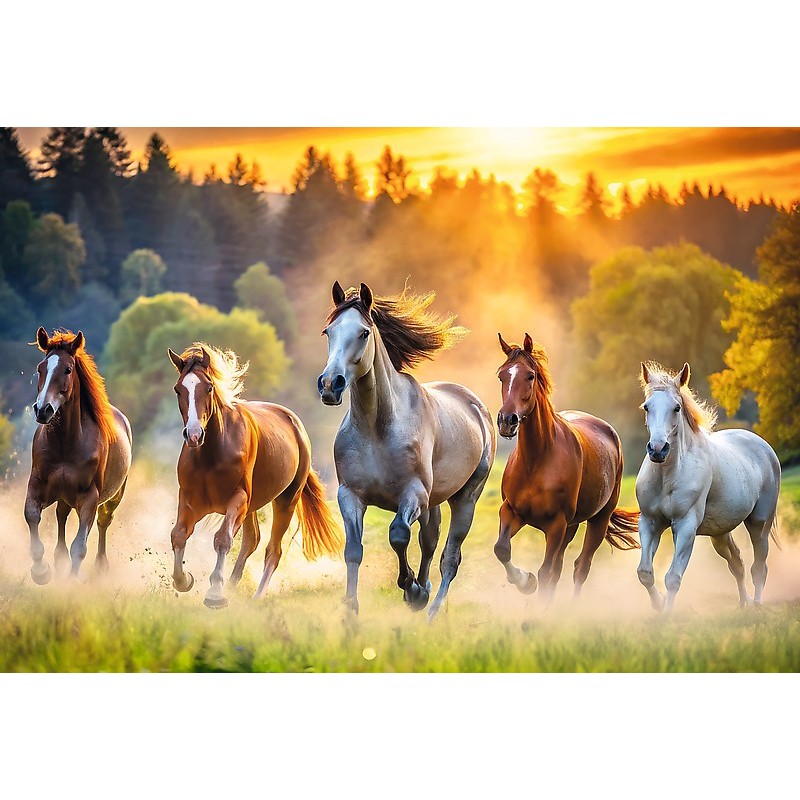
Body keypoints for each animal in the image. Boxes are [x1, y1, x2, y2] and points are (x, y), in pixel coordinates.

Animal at [24, 327, 132, 583]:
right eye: (40, 368)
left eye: (67, 369)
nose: (42, 410)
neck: (66, 443)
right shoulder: (37, 485)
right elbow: (32, 516)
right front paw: (41, 571)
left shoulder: (89, 498)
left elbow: (80, 546)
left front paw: (72, 582)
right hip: (64, 496)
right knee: (61, 516)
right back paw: (58, 560)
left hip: (113, 497)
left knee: (103, 523)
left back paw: (101, 567)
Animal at [167, 342, 344, 608]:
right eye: (178, 389)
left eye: (209, 387)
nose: (195, 434)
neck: (212, 453)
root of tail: (296, 425)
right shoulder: (190, 501)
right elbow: (178, 535)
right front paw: (184, 580)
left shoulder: (237, 500)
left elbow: (223, 539)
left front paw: (215, 594)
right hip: (251, 507)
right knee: (252, 541)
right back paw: (232, 586)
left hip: (285, 501)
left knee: (273, 550)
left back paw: (257, 596)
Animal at [317, 282, 496, 620]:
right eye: (328, 331)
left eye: (363, 333)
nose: (330, 385)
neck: (377, 429)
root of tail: (475, 406)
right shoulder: (350, 495)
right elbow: (354, 550)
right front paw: (351, 611)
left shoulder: (413, 494)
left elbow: (398, 534)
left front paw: (410, 589)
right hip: (434, 502)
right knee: (430, 541)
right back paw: (424, 590)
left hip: (465, 498)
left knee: (449, 558)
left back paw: (430, 609)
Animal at [494, 333, 640, 605]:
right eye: (502, 375)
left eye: (530, 375)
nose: (507, 421)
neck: (537, 460)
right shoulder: (511, 511)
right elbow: (502, 550)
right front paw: (525, 582)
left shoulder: (556, 525)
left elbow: (545, 571)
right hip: (571, 527)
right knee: (561, 566)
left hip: (597, 521)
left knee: (580, 566)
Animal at [635, 361, 781, 611]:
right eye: (647, 407)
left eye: (676, 408)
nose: (658, 449)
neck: (668, 475)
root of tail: (762, 445)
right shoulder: (650, 522)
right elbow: (645, 572)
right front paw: (659, 604)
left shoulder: (685, 525)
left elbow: (673, 577)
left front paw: (666, 615)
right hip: (720, 533)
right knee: (737, 563)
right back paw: (743, 603)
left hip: (759, 523)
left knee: (759, 567)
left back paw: (756, 605)